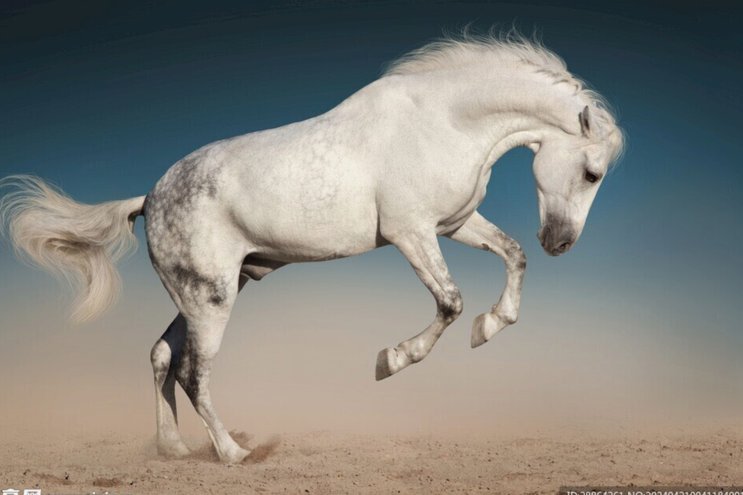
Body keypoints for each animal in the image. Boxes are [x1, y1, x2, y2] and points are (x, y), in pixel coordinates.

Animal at [0, 32, 624, 463]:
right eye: (592, 172)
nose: (561, 242)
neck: (443, 121)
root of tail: (149, 199)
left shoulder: (453, 224)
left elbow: (511, 256)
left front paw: (490, 327)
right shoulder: (412, 233)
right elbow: (449, 302)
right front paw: (390, 361)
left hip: (206, 293)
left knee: (161, 356)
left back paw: (173, 450)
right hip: (212, 299)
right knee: (194, 372)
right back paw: (233, 454)